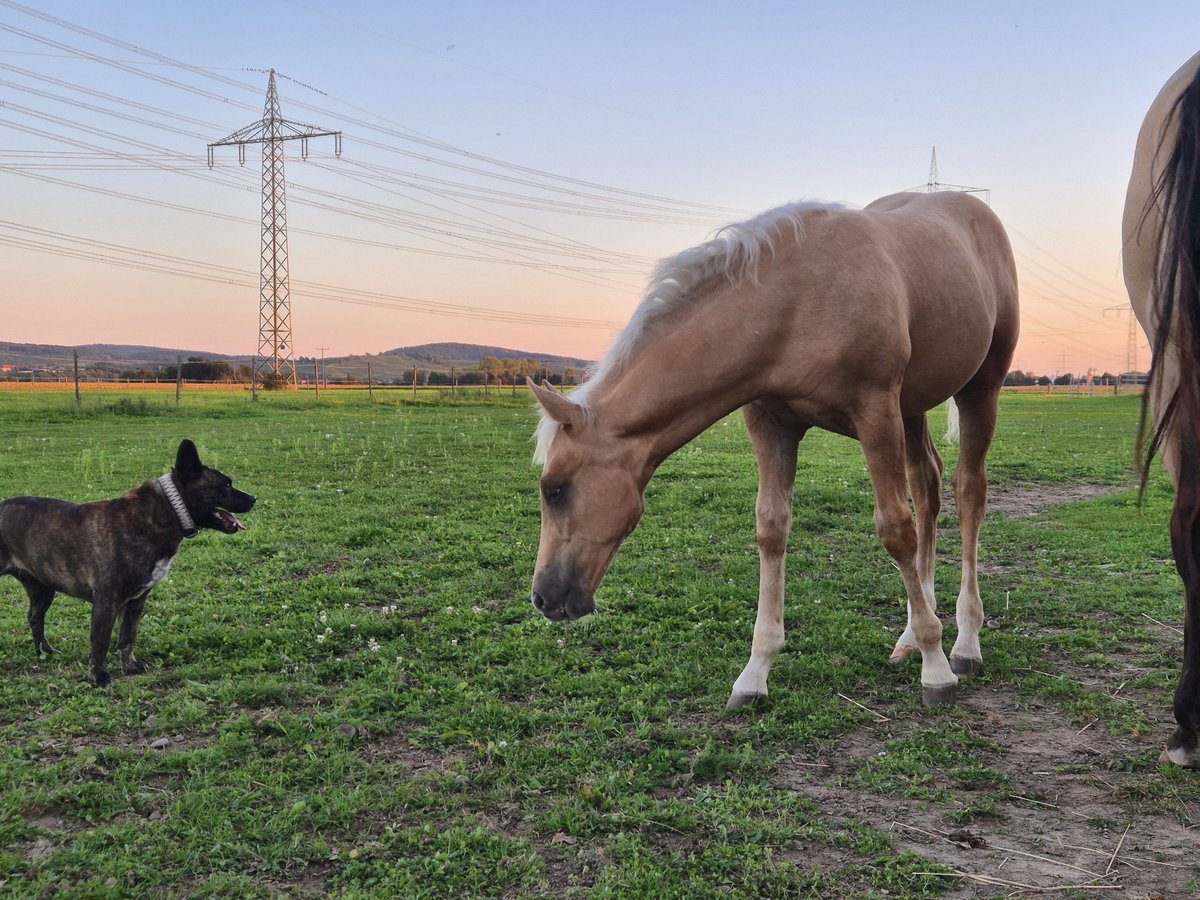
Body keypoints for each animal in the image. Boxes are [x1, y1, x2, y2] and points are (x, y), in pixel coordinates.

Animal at [528, 190, 1019, 709]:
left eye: (554, 489)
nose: (543, 597)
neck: (792, 302)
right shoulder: (770, 422)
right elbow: (772, 527)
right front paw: (755, 672)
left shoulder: (876, 413)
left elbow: (894, 529)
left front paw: (936, 667)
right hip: (914, 407)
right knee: (928, 486)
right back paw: (909, 636)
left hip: (979, 390)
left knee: (969, 492)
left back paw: (964, 643)